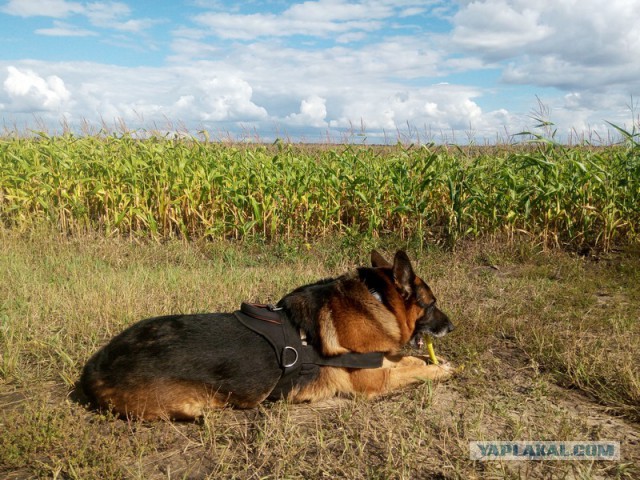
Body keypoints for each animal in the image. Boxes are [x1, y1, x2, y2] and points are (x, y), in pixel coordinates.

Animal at [81, 251, 456, 420]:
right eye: (433, 303)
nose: (451, 327)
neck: (377, 300)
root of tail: (95, 368)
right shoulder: (374, 381)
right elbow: (413, 371)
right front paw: (440, 370)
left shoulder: (382, 360)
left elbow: (408, 360)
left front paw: (435, 361)